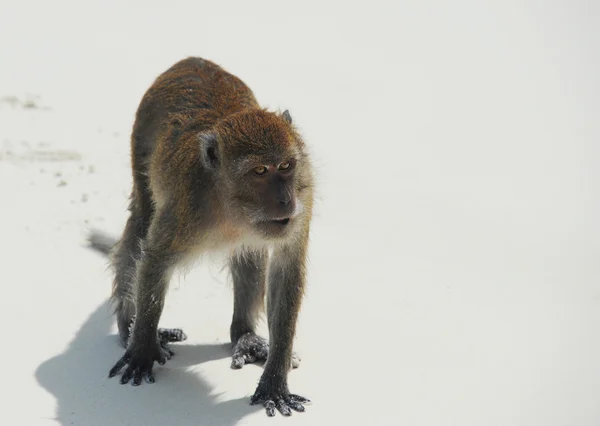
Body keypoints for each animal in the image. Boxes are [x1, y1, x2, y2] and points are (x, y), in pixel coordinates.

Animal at [106, 56, 314, 416]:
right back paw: (128, 328)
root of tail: (191, 60)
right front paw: (142, 346)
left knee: (249, 254)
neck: (231, 206)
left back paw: (244, 335)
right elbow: (155, 259)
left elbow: (286, 271)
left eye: (286, 166)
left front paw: (275, 379)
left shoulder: (304, 195)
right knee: (141, 225)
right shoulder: (186, 206)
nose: (286, 200)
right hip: (140, 144)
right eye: (260, 171)